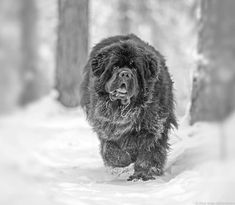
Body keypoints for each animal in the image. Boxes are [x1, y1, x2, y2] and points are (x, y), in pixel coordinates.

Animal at [80, 34, 176, 181]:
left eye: (135, 68)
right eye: (115, 66)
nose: (125, 73)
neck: (123, 110)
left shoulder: (153, 127)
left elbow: (149, 151)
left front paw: (143, 174)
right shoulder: (106, 127)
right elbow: (110, 149)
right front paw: (124, 160)